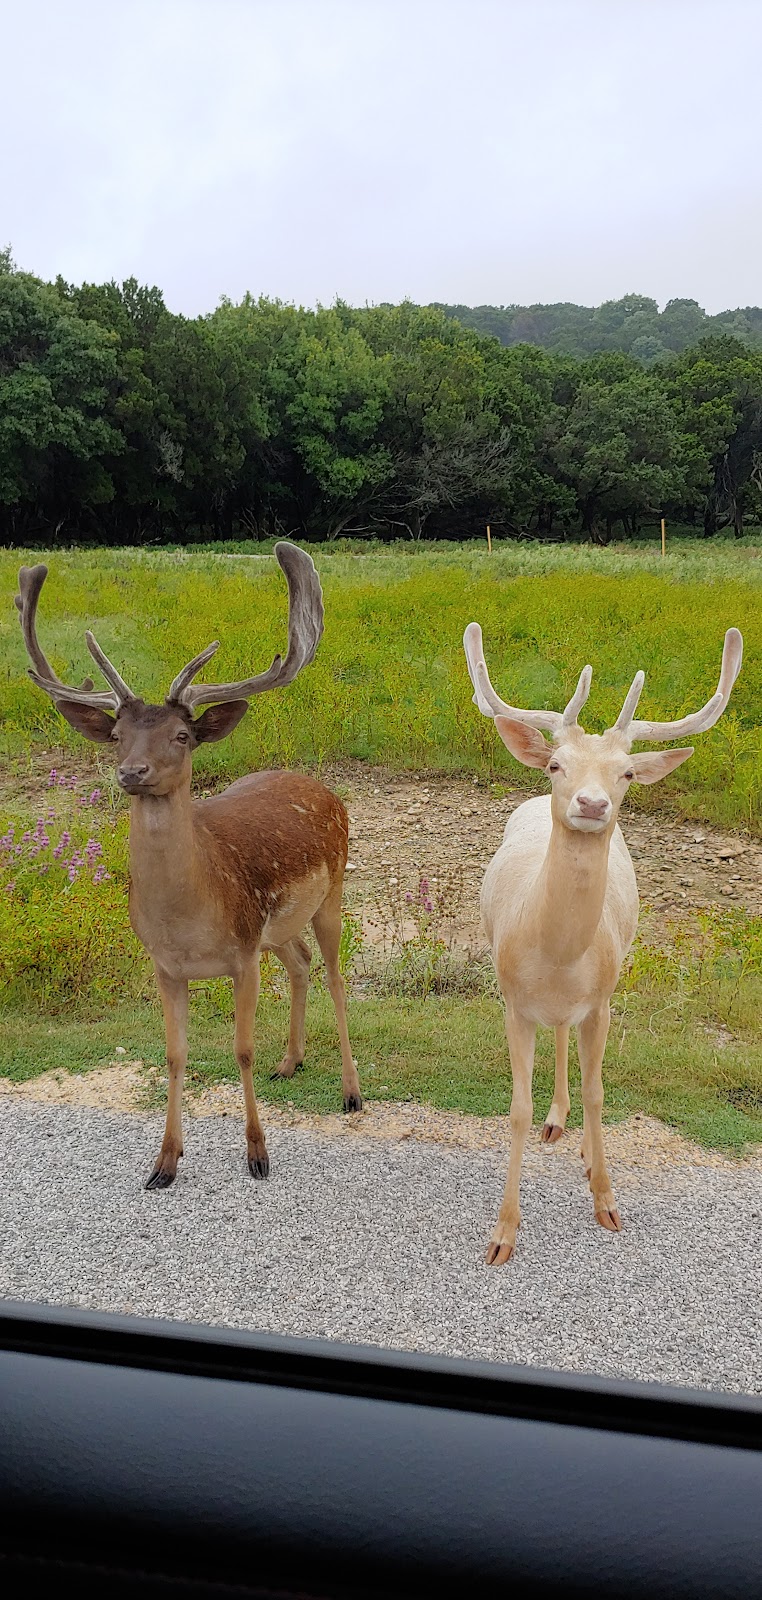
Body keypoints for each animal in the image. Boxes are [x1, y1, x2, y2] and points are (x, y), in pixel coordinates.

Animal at [17, 550, 363, 1190]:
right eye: (118, 735)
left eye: (182, 734)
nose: (132, 771)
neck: (186, 916)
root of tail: (320, 786)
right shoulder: (166, 963)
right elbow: (175, 1054)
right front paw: (164, 1163)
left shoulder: (241, 955)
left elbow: (240, 1050)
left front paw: (258, 1155)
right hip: (275, 927)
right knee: (300, 962)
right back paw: (290, 1060)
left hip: (332, 891)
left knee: (333, 974)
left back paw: (352, 1092)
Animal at [461, 620, 739, 1260]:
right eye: (556, 765)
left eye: (628, 772)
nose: (592, 803)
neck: (558, 958)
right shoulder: (513, 1001)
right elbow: (515, 1109)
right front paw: (502, 1234)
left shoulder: (604, 1002)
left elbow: (599, 1094)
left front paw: (606, 1200)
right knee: (556, 1042)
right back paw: (555, 1120)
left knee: (574, 1052)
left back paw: (582, 1143)